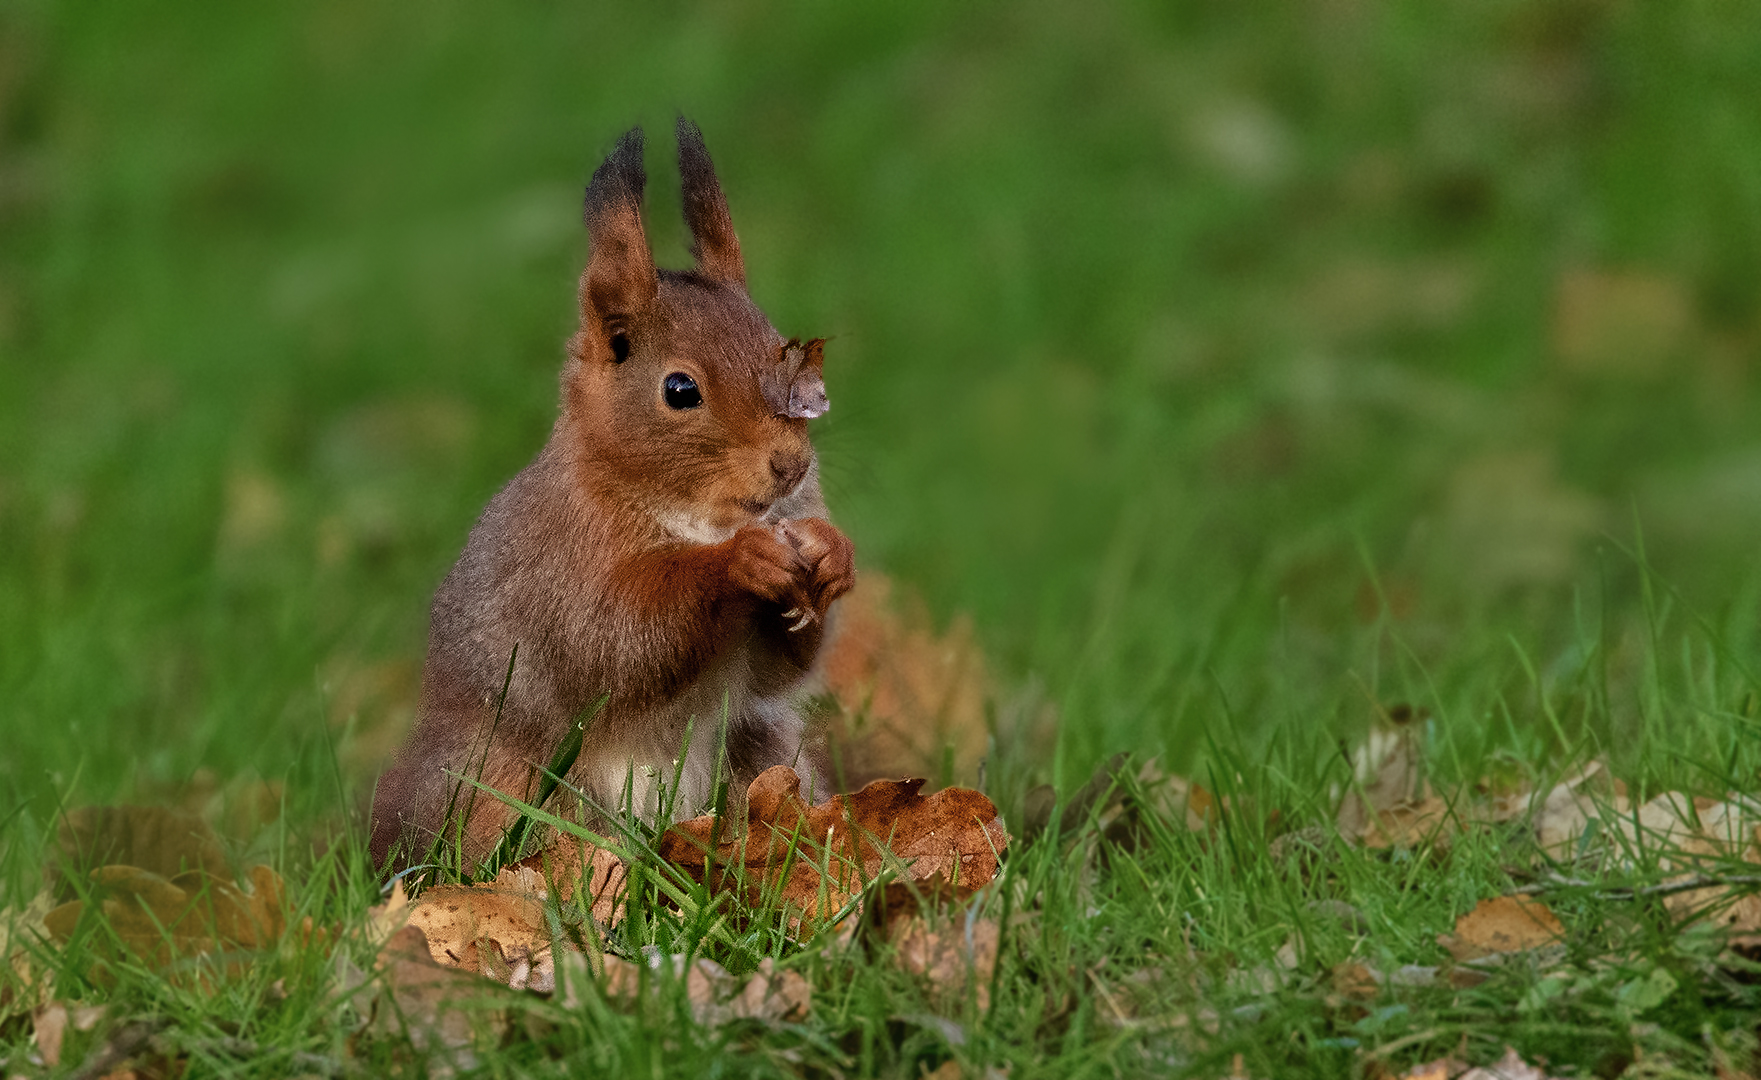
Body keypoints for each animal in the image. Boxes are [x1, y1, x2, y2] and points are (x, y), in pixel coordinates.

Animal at [373, 118, 859, 866]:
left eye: (786, 351)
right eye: (679, 390)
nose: (790, 466)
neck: (698, 517)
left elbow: (777, 672)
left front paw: (831, 554)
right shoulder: (559, 570)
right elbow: (616, 637)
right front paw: (739, 564)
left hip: (760, 752)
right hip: (504, 790)